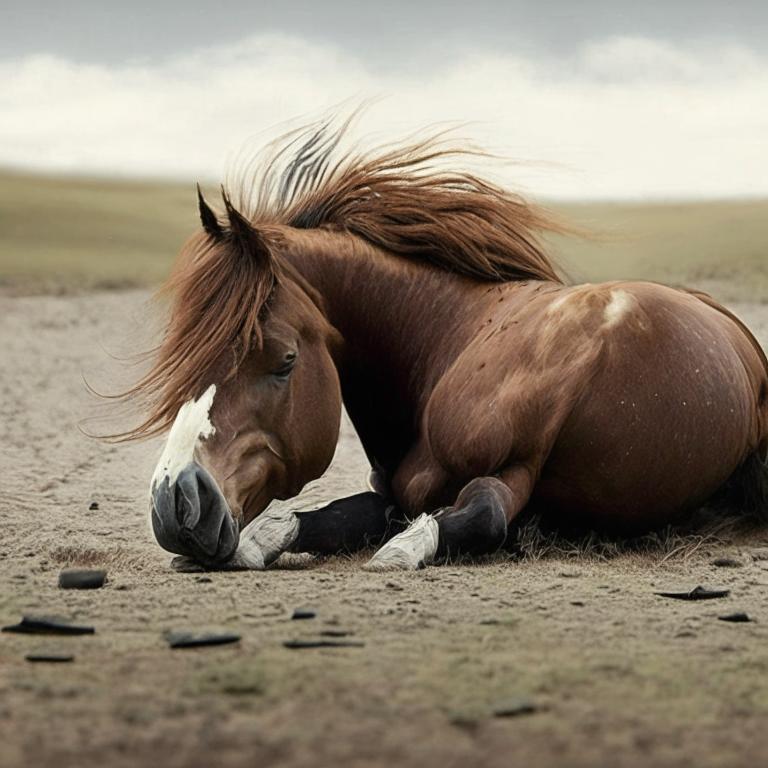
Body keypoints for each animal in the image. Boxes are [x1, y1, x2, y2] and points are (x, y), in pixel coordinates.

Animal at [120, 119, 768, 571]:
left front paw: (405, 551)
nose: (176, 506)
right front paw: (255, 547)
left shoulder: (511, 468)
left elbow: (483, 518)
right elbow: (323, 519)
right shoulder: (393, 495)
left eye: (284, 361)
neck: (445, 342)